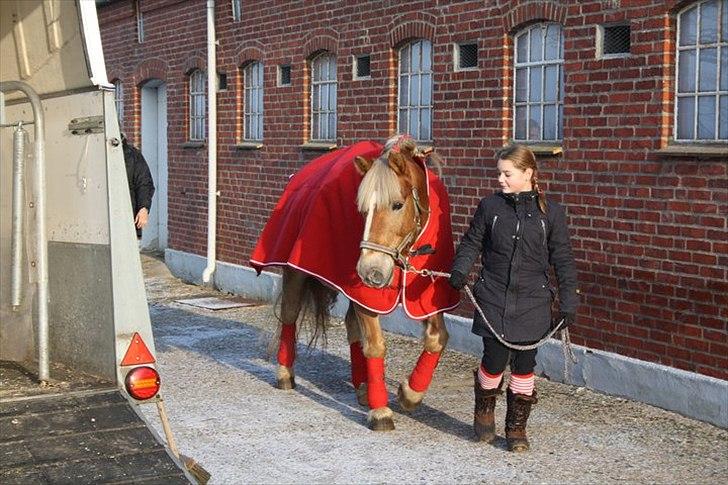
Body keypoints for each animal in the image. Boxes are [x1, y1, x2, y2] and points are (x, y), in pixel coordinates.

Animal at [258, 134, 458, 430]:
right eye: (362, 210)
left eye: (397, 204)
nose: (369, 270)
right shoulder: (367, 296)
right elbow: (375, 346)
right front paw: (381, 411)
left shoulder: (428, 295)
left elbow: (437, 339)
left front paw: (409, 393)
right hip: (296, 273)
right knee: (289, 316)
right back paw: (285, 373)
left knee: (352, 327)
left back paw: (363, 386)